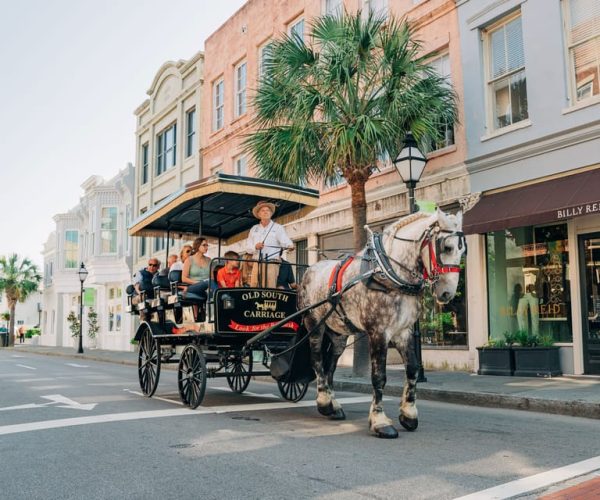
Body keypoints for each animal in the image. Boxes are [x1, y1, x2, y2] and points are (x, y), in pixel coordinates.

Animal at [298, 210, 466, 438]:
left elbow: (412, 369)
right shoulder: (379, 332)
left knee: (329, 365)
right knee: (316, 360)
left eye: (463, 250)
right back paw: (324, 402)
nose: (447, 293)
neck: (389, 272)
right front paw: (380, 422)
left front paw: (409, 414)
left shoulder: (403, 331)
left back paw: (333, 406)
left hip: (339, 332)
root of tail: (309, 270)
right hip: (314, 323)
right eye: (447, 247)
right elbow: (379, 377)